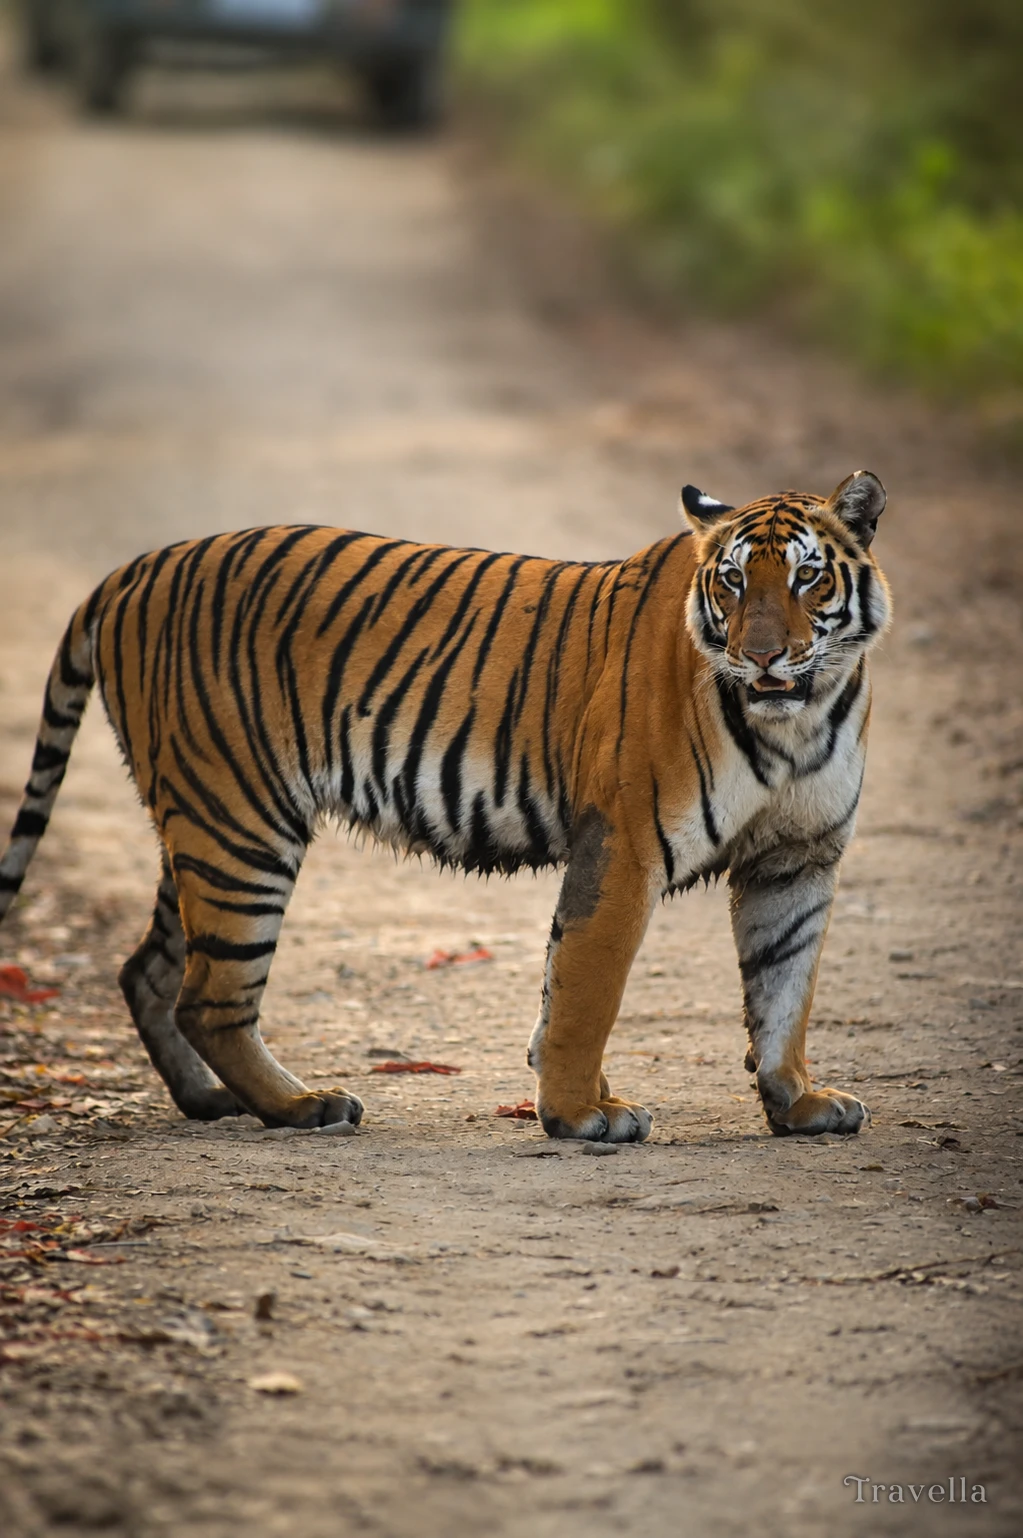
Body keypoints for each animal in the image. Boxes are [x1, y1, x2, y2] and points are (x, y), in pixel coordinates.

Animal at [0, 470, 890, 1142]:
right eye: (732, 581)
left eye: (807, 577)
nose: (760, 656)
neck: (797, 719)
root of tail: (136, 569)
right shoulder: (624, 843)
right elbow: (586, 989)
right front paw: (579, 1115)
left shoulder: (795, 860)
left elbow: (784, 988)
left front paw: (797, 1101)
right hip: (239, 825)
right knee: (210, 997)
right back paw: (303, 1106)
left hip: (199, 824)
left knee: (149, 972)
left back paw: (211, 1101)